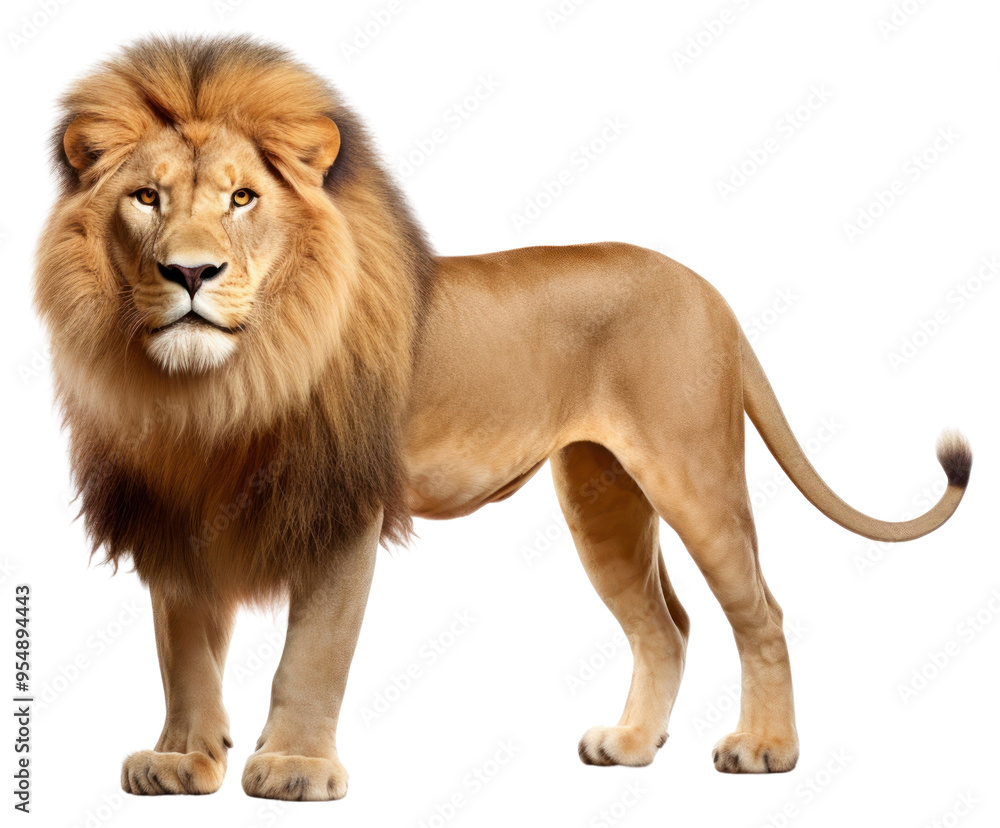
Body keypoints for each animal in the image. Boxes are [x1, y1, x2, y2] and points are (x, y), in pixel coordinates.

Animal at [34, 35, 971, 801]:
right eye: (146, 198)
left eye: (241, 198)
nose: (191, 273)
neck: (217, 388)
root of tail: (708, 291)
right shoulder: (173, 512)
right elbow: (183, 654)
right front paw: (183, 760)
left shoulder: (345, 506)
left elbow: (313, 653)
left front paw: (293, 769)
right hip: (602, 495)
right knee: (665, 624)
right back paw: (631, 745)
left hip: (692, 468)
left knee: (761, 612)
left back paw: (767, 749)